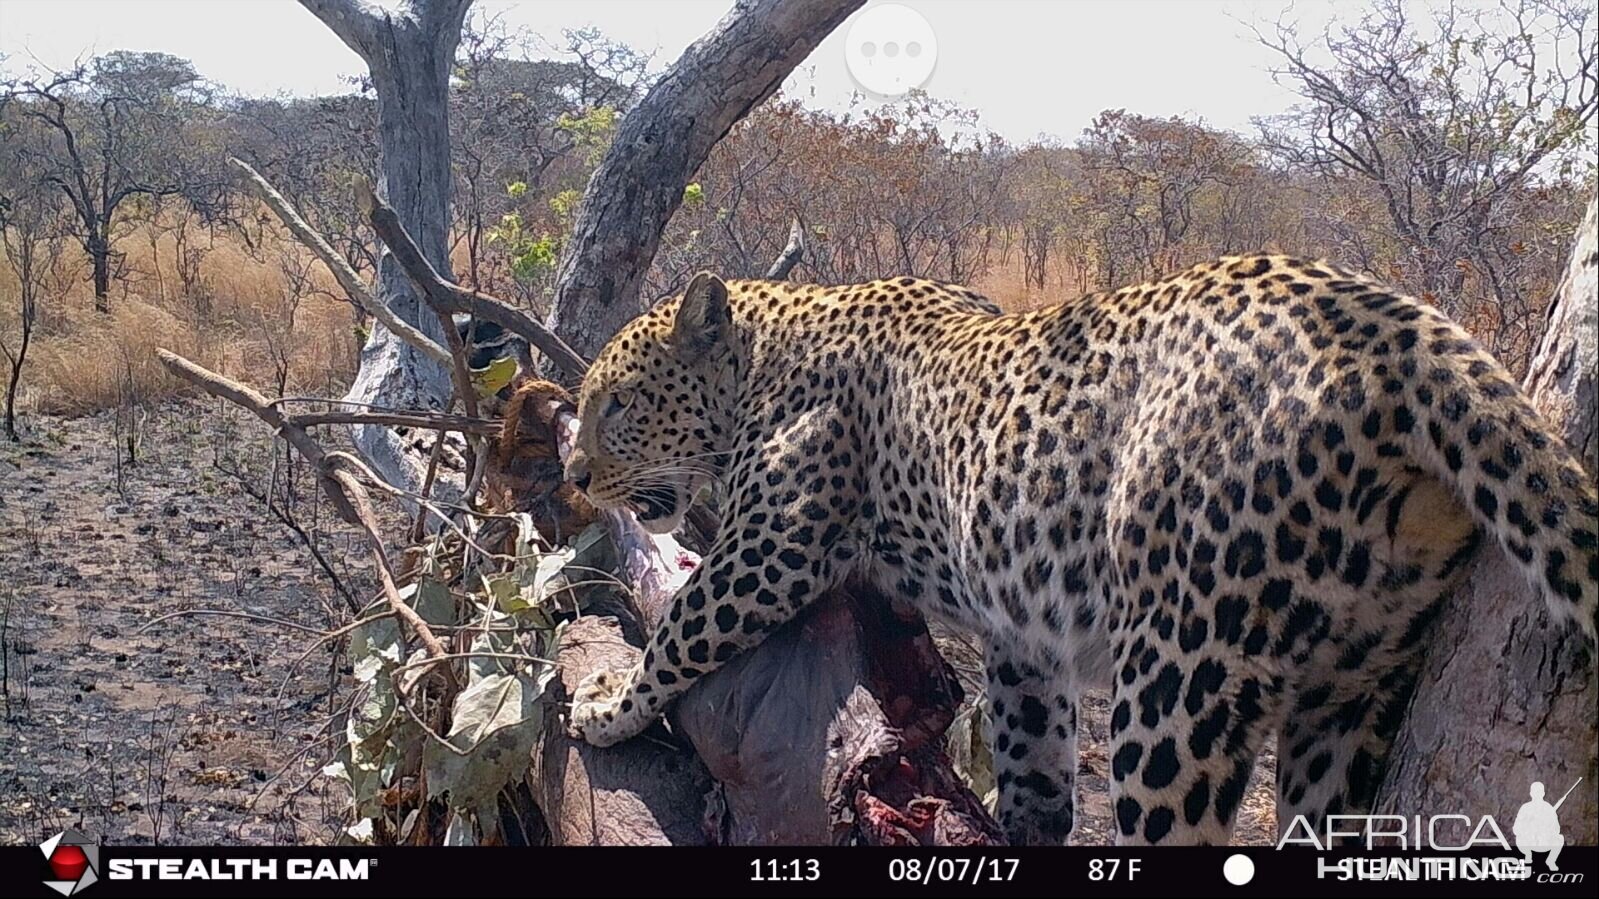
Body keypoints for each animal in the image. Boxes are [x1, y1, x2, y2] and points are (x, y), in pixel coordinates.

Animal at [556, 255, 1592, 844]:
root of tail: (1398, 325)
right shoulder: (1021, 631)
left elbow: (682, 631)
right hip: (1355, 677)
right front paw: (1026, 819)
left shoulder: (771, 547)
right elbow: (1031, 748)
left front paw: (603, 703)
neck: (767, 354)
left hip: (1179, 674)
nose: (570, 473)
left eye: (618, 403)